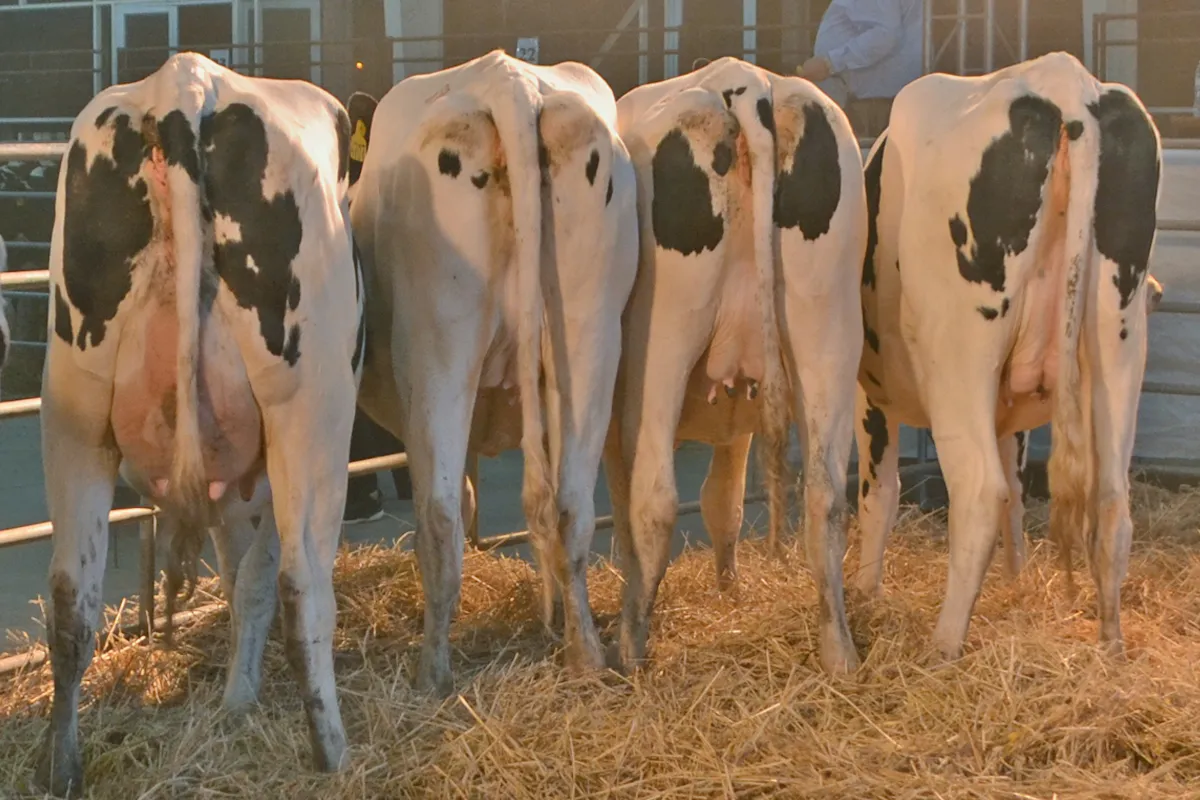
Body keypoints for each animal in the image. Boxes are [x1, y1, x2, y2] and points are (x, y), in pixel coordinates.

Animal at [36, 52, 363, 795]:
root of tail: (184, 83)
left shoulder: (228, 482)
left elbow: (238, 577)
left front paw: (237, 697)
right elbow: (257, 578)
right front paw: (243, 698)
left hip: (74, 406)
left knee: (72, 596)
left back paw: (63, 767)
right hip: (310, 413)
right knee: (303, 581)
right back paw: (334, 753)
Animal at [346, 50, 638, 691]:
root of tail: (510, 82)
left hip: (437, 352)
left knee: (438, 516)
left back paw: (432, 672)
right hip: (590, 337)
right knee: (568, 505)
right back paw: (583, 653)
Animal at [605, 57, 868, 675]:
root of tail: (747, 84)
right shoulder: (734, 411)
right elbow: (723, 499)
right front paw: (729, 590)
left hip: (662, 343)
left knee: (654, 498)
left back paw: (630, 648)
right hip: (827, 330)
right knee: (825, 493)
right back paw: (839, 652)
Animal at [853, 51, 1161, 661]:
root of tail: (1066, 82)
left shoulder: (866, 391)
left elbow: (879, 493)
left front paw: (864, 594)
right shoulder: (1010, 407)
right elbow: (1017, 494)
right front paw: (1015, 587)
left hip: (958, 354)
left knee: (977, 492)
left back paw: (944, 647)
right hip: (1118, 340)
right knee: (1111, 502)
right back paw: (1111, 643)